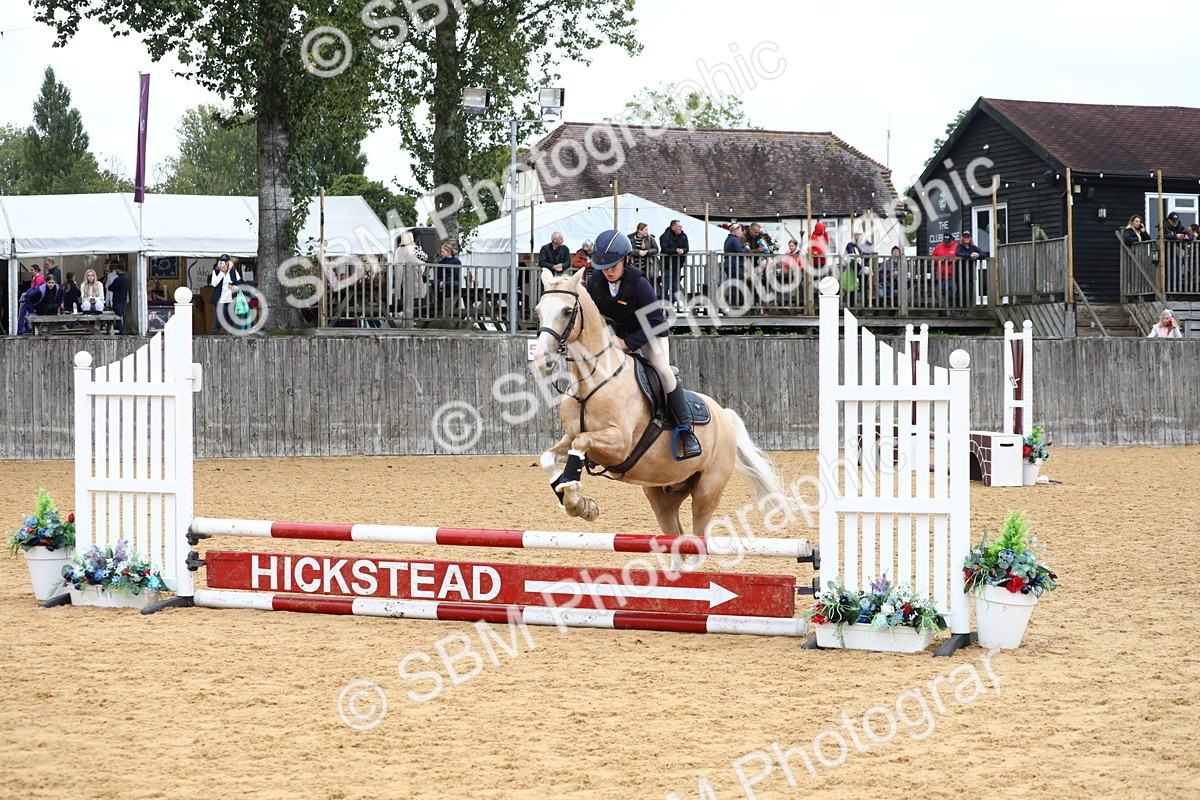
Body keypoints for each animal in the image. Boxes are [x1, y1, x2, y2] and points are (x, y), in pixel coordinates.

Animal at [531, 268, 785, 539]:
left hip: (707, 491)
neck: (592, 380)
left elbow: (581, 442)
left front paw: (577, 500)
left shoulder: (619, 443)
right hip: (663, 493)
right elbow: (549, 456)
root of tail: (724, 416)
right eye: (538, 310)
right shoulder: (571, 436)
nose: (541, 358)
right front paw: (576, 500)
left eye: (567, 311)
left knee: (699, 532)